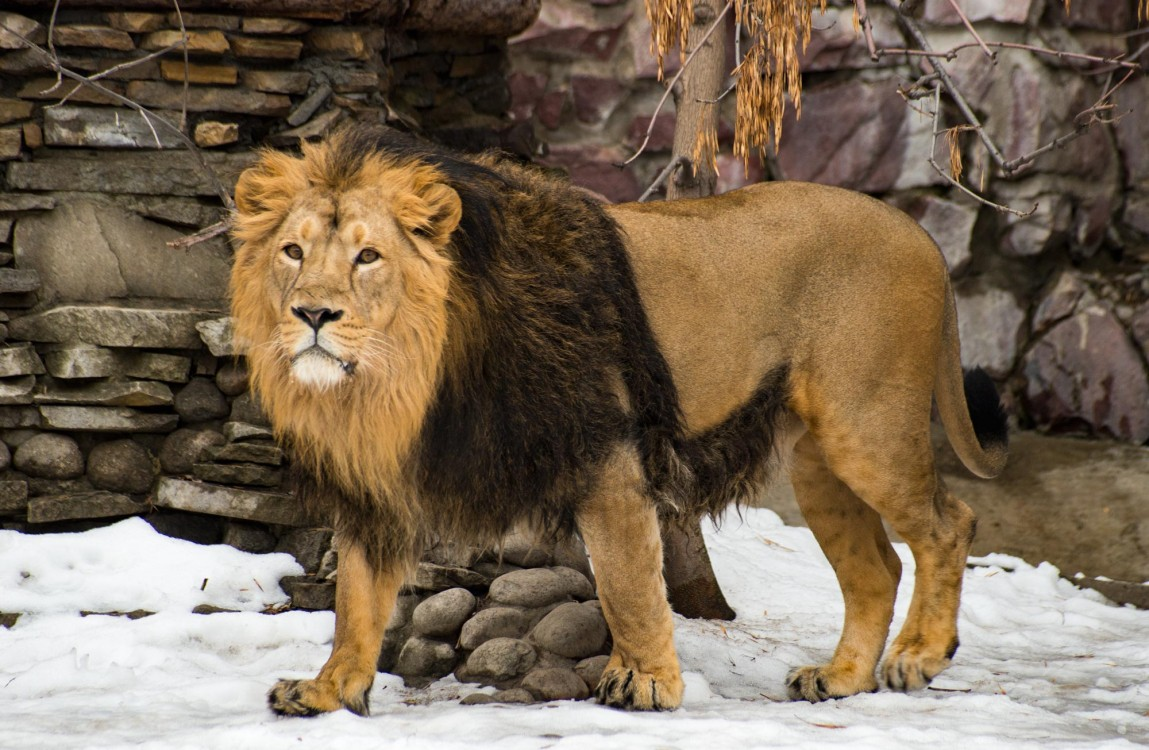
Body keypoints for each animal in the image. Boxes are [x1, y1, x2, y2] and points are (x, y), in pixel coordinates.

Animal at [230, 125, 1006, 716]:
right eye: (293, 251)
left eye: (368, 256)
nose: (313, 313)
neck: (405, 379)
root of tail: (919, 234)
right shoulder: (377, 486)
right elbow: (356, 602)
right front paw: (327, 690)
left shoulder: (606, 454)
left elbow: (628, 582)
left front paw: (647, 683)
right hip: (819, 464)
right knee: (877, 566)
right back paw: (840, 678)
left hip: (867, 427)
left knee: (949, 523)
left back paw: (917, 656)